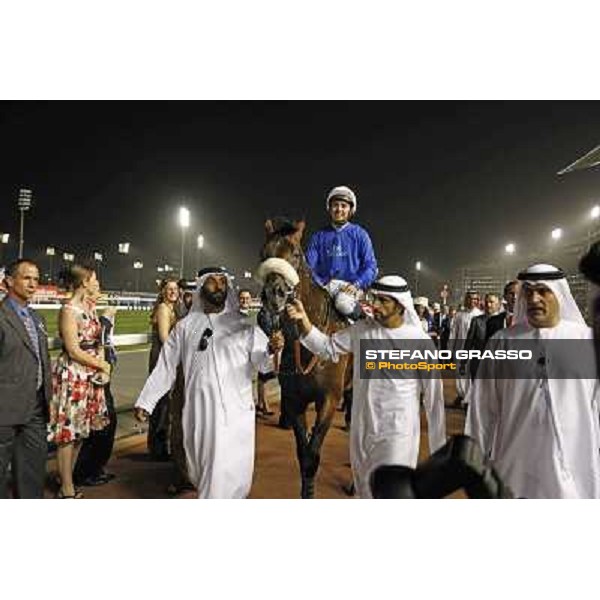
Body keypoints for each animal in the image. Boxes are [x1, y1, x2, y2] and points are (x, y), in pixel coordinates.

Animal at [258, 218, 352, 500]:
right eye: (263, 253)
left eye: (297, 254)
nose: (274, 294)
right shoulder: (294, 399)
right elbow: (304, 454)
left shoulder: (329, 398)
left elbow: (313, 454)